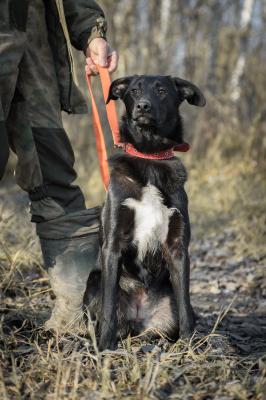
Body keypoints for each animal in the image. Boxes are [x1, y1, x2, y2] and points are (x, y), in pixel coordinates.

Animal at [84, 75, 206, 350]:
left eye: (161, 91)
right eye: (134, 91)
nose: (143, 106)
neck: (150, 157)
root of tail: (139, 317)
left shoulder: (177, 246)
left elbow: (185, 305)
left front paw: (189, 344)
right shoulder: (113, 245)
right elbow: (109, 307)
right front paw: (105, 347)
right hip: (93, 283)